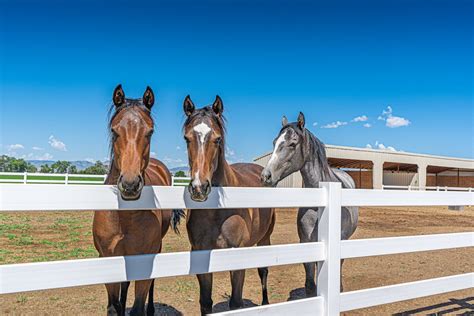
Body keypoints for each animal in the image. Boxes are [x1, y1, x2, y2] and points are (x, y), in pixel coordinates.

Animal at [92, 84, 181, 316]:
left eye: (150, 131)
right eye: (114, 131)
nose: (130, 185)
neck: (125, 217)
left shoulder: (145, 259)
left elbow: (138, 305)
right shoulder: (109, 259)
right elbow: (113, 307)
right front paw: (120, 306)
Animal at [183, 94, 276, 314]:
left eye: (217, 139)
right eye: (186, 138)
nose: (199, 188)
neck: (217, 213)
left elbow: (235, 302)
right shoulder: (200, 253)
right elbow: (205, 302)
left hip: (265, 238)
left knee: (263, 271)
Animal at [262, 112, 358, 296]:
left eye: (292, 143)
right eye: (274, 142)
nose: (266, 176)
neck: (319, 206)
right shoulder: (306, 241)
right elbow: (309, 284)